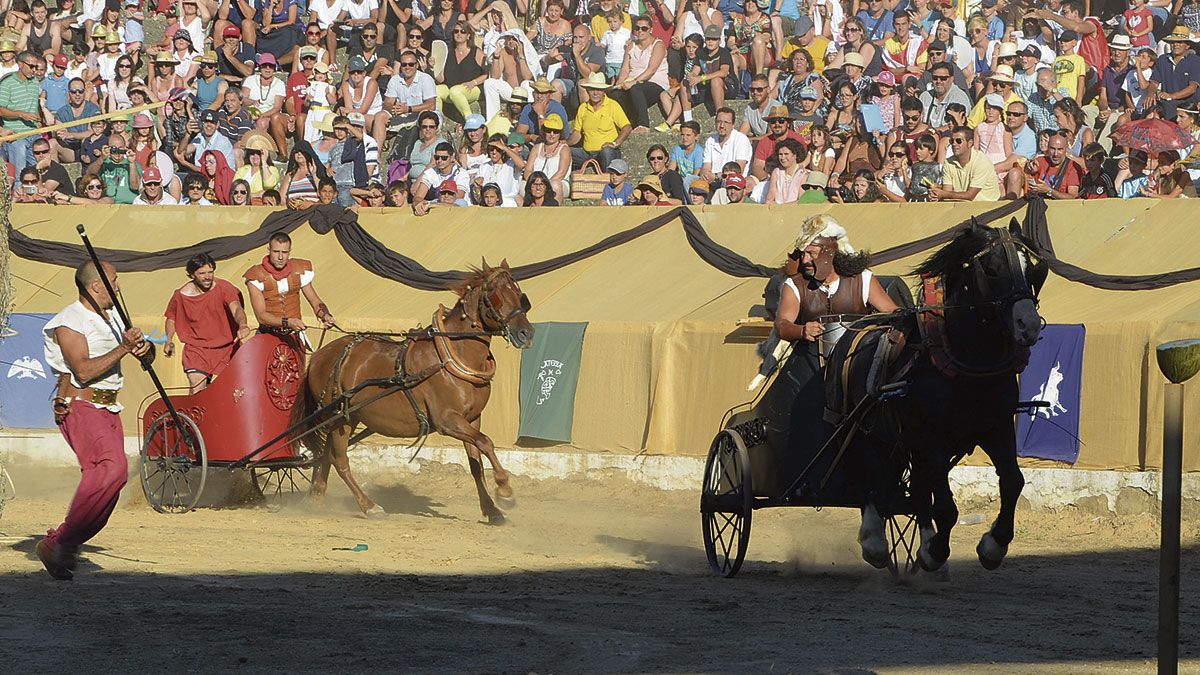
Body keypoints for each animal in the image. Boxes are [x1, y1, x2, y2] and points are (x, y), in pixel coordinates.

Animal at [292, 260, 532, 523]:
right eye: (496, 294)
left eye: (519, 294)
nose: (526, 333)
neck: (452, 355)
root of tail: (319, 356)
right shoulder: (448, 420)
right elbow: (486, 443)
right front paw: (505, 491)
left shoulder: (471, 419)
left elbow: (476, 463)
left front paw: (491, 509)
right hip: (339, 419)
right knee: (339, 459)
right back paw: (368, 505)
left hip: (347, 417)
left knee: (326, 455)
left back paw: (316, 497)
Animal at [849, 219, 1046, 566]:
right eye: (991, 269)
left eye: (1030, 267)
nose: (1029, 324)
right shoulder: (932, 441)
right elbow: (945, 506)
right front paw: (935, 551)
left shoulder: (996, 427)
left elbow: (1013, 482)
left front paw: (994, 544)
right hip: (869, 431)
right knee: (869, 475)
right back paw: (875, 540)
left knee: (914, 487)